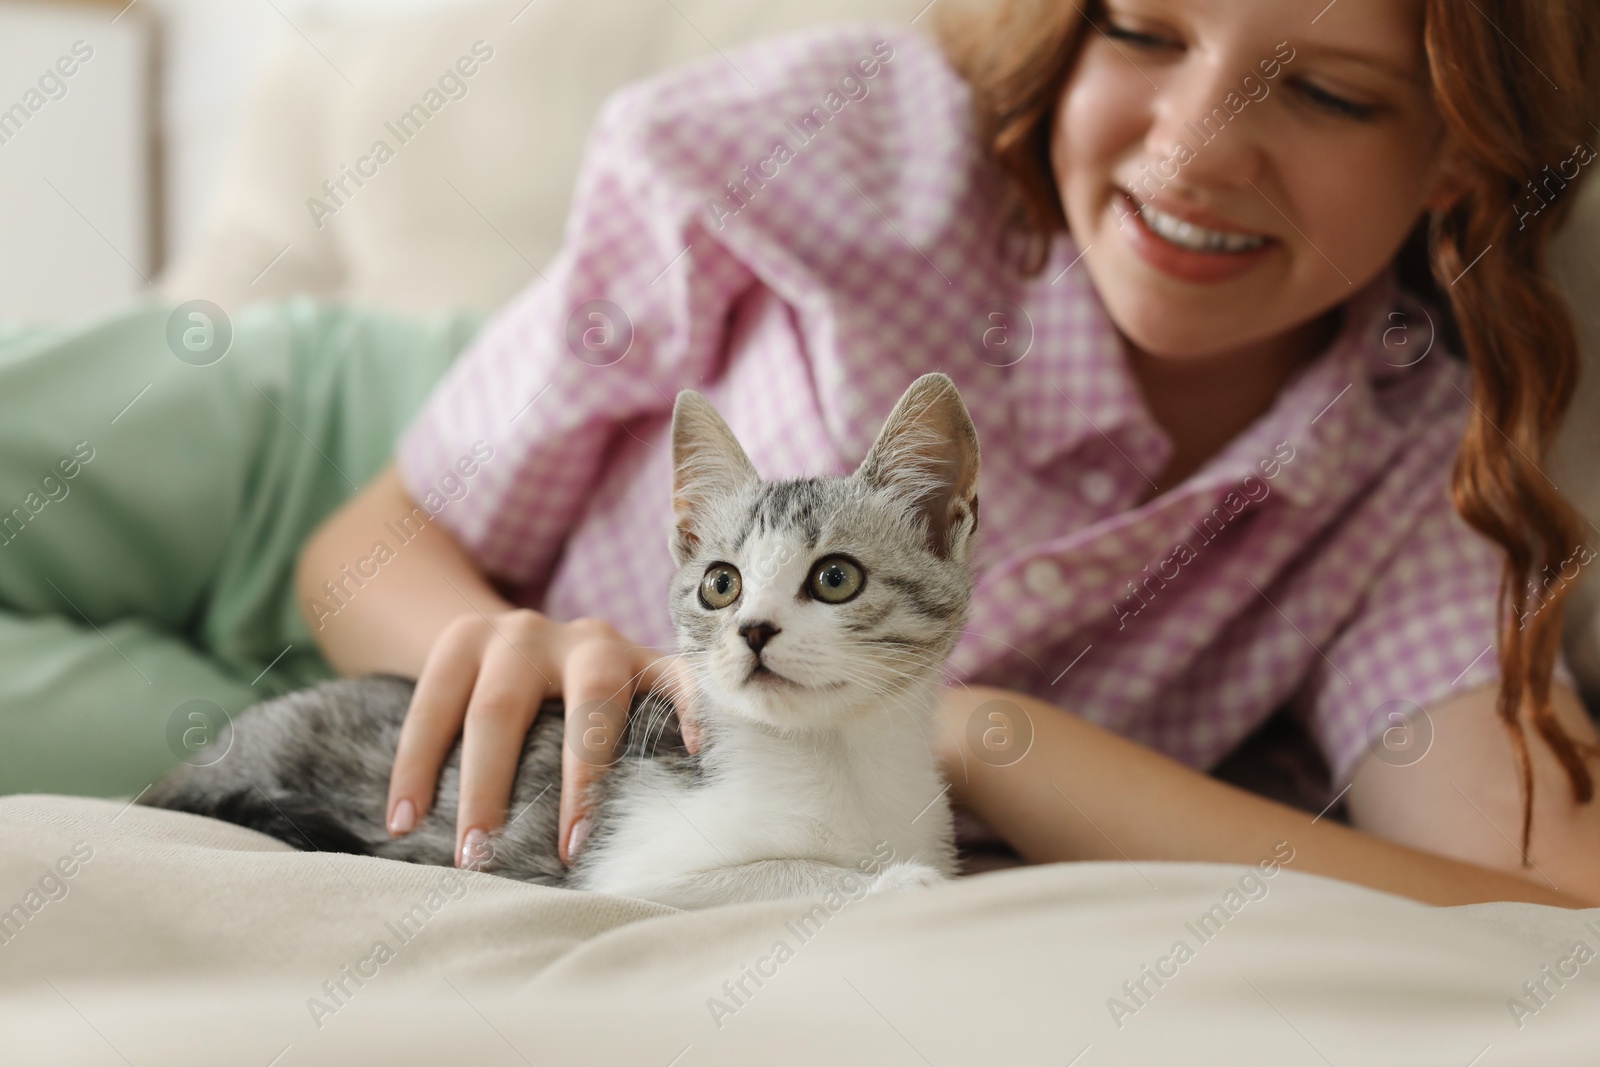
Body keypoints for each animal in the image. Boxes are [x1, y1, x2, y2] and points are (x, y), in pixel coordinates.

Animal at [144, 374, 979, 908]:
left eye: (836, 577)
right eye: (722, 583)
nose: (754, 631)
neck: (835, 756)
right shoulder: (626, 871)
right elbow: (779, 872)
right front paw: (892, 882)